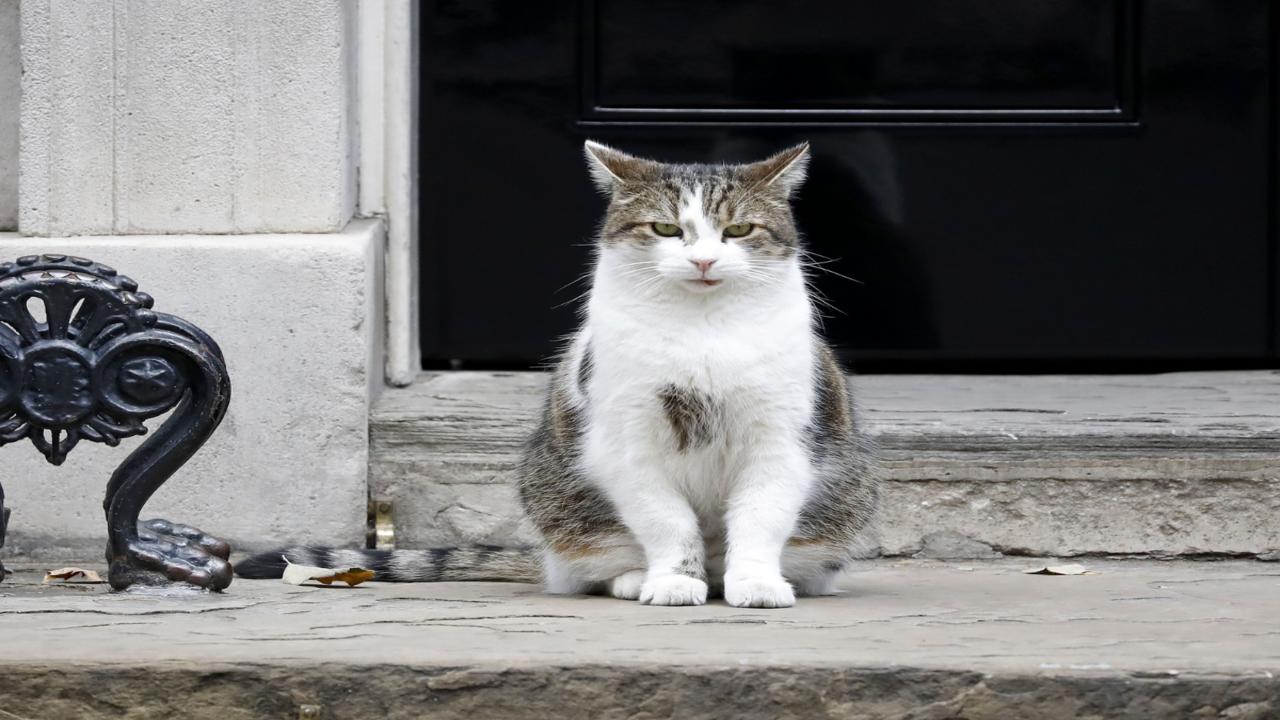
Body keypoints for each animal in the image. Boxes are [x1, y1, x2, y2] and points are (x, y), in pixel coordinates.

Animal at [232, 140, 880, 604]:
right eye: (666, 229)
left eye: (739, 230)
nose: (702, 260)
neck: (703, 333)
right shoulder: (626, 441)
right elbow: (667, 523)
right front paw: (673, 581)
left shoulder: (781, 440)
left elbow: (760, 518)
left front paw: (758, 585)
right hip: (558, 494)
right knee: (583, 567)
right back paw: (634, 580)